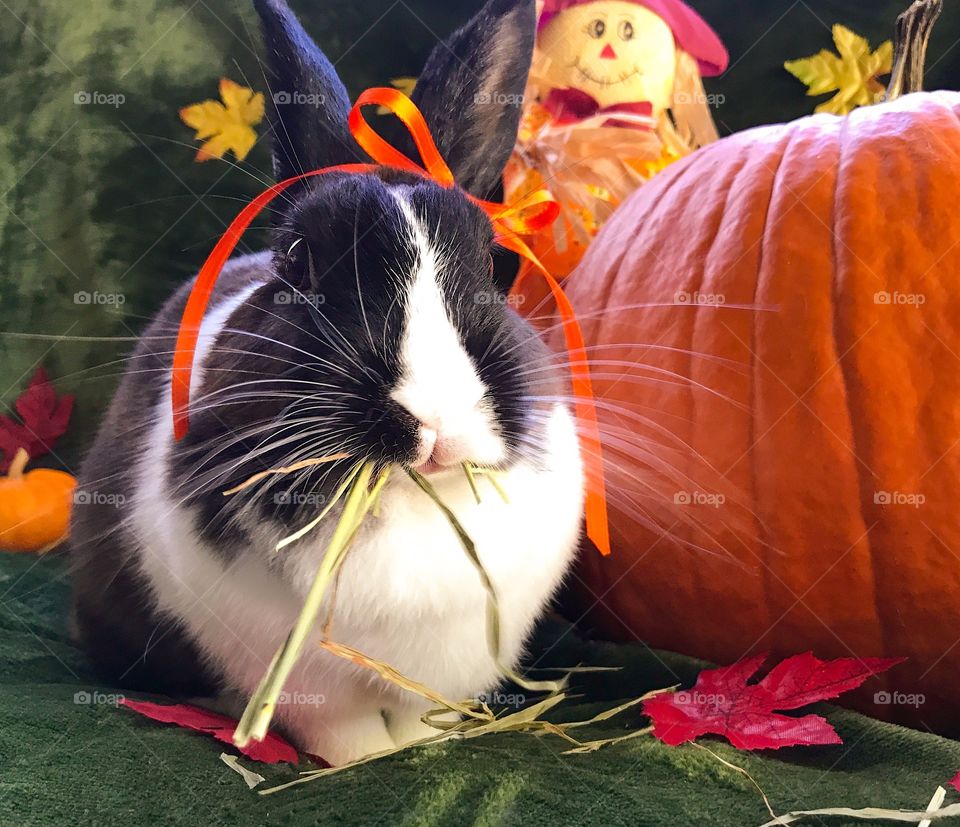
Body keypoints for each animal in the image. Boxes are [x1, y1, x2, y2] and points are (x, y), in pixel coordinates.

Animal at [70, 0, 585, 766]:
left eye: (495, 265)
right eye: (298, 258)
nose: (434, 421)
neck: (403, 500)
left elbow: (420, 717)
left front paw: (419, 748)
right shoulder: (298, 674)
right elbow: (345, 734)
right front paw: (367, 760)